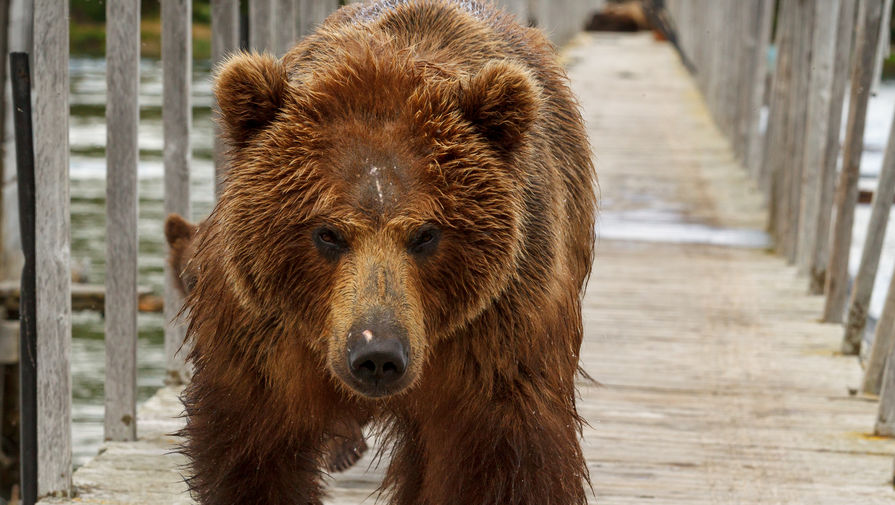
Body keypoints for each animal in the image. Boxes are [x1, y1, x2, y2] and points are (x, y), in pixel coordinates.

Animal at [178, 1, 600, 502]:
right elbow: (253, 453)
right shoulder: (263, 338)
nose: (377, 353)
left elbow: (501, 460)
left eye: (426, 234)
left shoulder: (500, 335)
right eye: (327, 233)